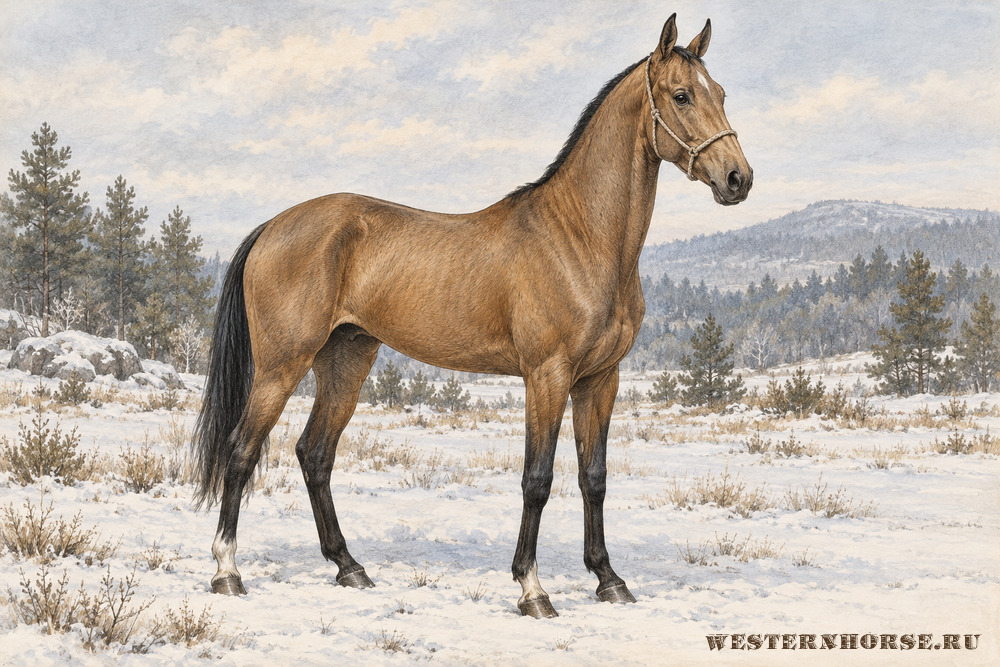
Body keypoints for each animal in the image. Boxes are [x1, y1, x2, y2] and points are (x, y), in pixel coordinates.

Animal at [193, 14, 752, 619]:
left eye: (721, 93)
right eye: (681, 95)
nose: (738, 179)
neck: (580, 238)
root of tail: (273, 225)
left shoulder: (601, 379)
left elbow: (594, 477)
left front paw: (608, 578)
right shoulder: (547, 376)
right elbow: (538, 478)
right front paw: (533, 589)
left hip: (346, 362)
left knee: (314, 454)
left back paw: (350, 568)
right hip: (281, 366)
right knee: (242, 450)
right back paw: (227, 572)